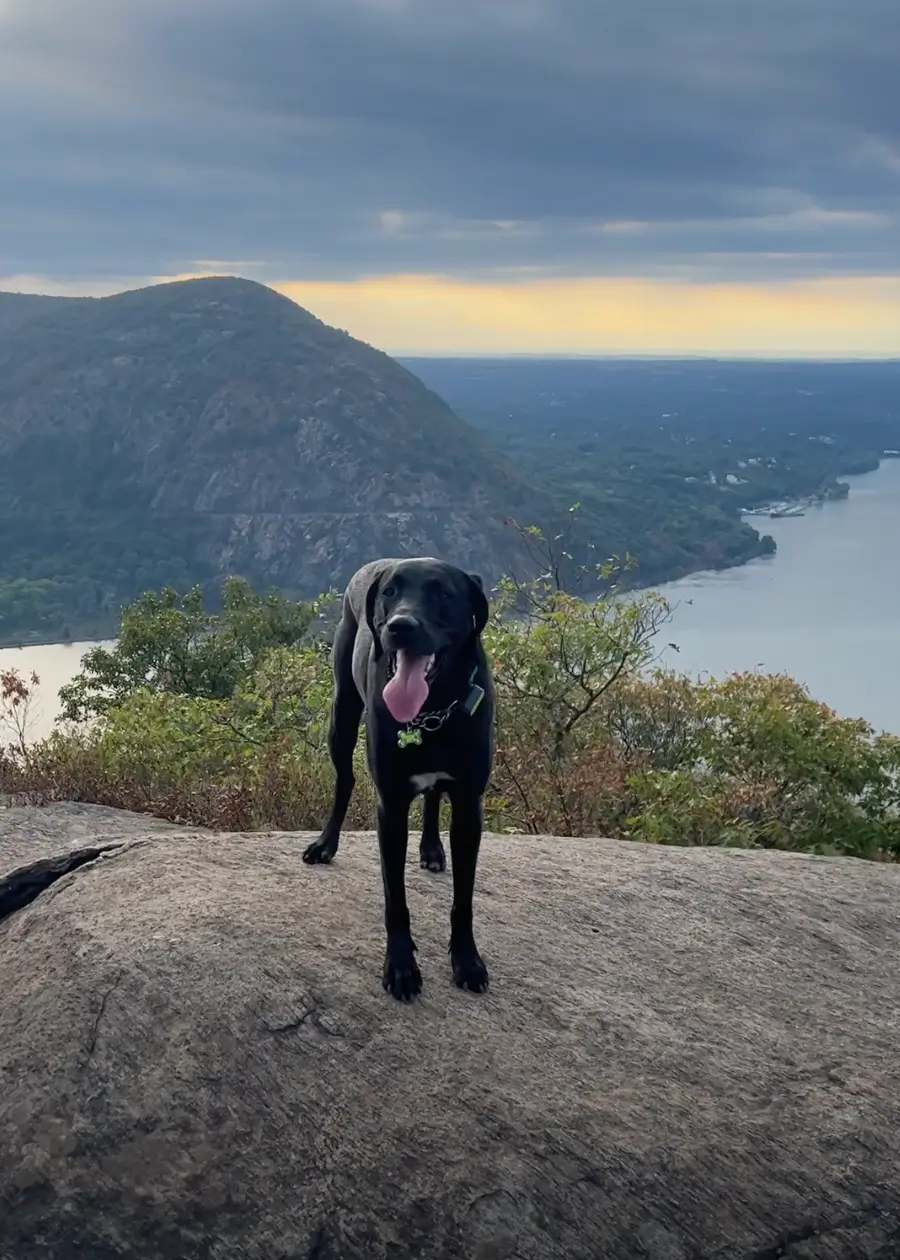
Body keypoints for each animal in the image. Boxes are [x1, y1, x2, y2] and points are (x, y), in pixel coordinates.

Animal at [305, 561, 494, 1002]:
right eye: (390, 592)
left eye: (443, 593)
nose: (400, 625)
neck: (432, 709)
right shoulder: (389, 807)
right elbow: (396, 898)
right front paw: (401, 967)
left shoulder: (469, 807)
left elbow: (464, 899)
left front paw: (467, 961)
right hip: (341, 716)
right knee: (345, 781)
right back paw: (325, 844)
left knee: (432, 797)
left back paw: (431, 849)